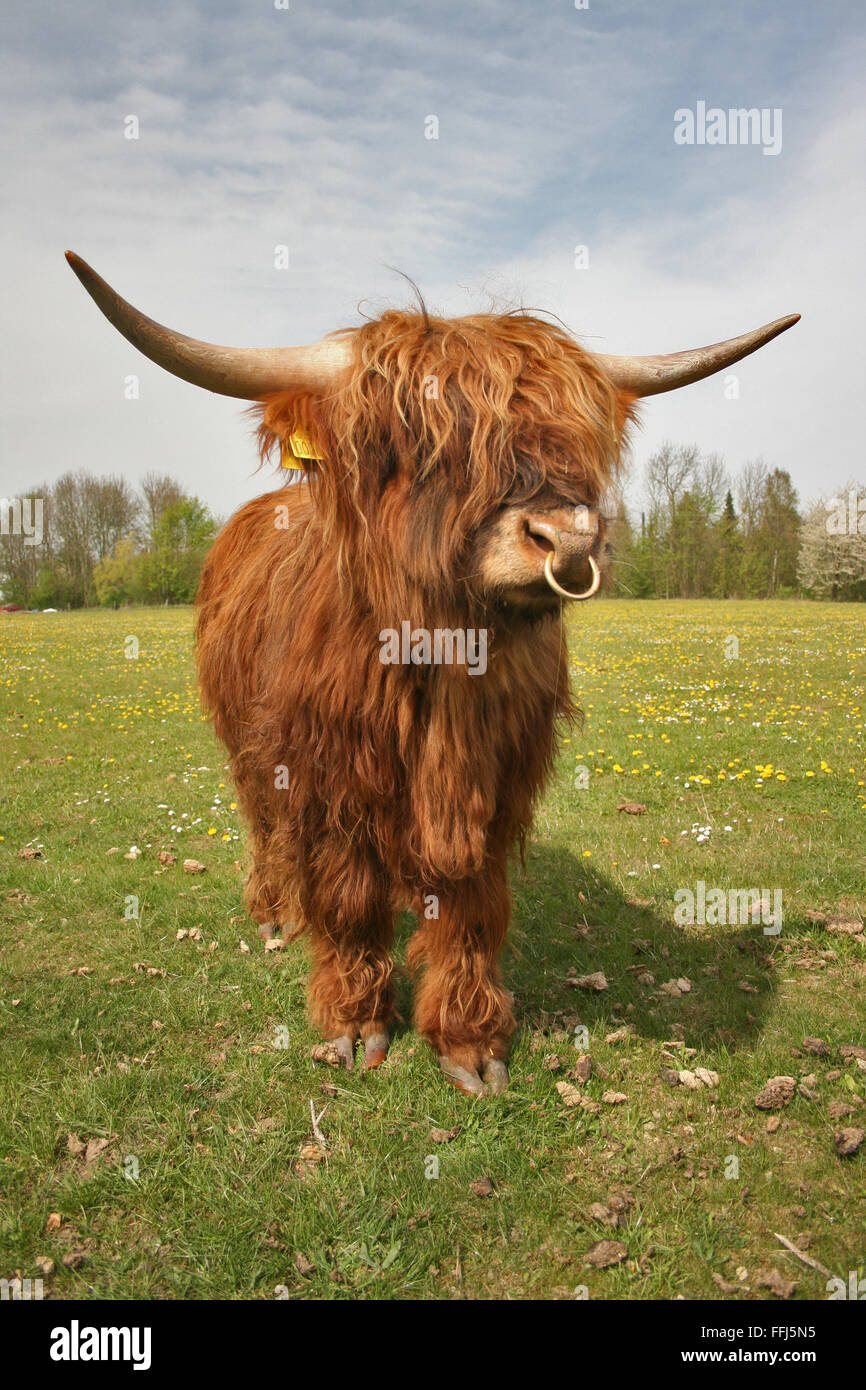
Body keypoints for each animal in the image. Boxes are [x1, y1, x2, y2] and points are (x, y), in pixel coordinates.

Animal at [66, 251, 798, 1094]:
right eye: (424, 444)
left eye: (579, 437)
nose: (569, 539)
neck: (442, 660)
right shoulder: (327, 778)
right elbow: (347, 899)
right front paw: (356, 1021)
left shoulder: (496, 780)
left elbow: (470, 907)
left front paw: (469, 1040)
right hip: (248, 750)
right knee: (264, 827)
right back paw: (274, 912)